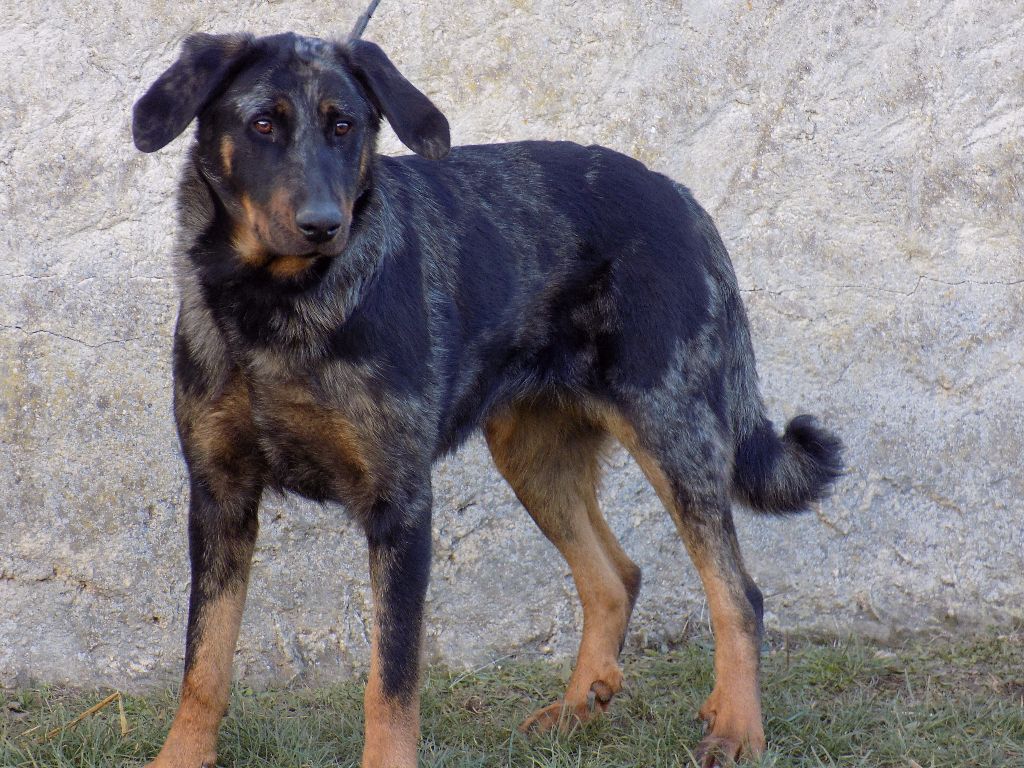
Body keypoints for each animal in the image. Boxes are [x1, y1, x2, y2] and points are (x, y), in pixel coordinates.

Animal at [132, 30, 842, 768]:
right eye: (262, 124)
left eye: (344, 126)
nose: (323, 225)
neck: (276, 307)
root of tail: (681, 196)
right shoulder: (220, 497)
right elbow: (204, 661)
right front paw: (180, 757)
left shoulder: (400, 506)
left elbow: (391, 680)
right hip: (534, 456)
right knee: (613, 578)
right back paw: (575, 708)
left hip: (675, 433)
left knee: (738, 595)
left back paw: (737, 726)